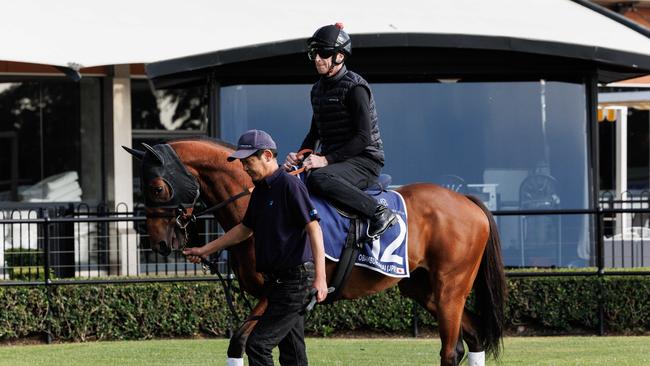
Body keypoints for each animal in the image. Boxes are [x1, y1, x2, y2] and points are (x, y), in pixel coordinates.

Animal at [123, 138, 506, 366]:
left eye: (157, 188)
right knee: (473, 337)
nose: (159, 243)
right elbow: (291, 354)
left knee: (451, 349)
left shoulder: (278, 293)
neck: (260, 198)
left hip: (449, 290)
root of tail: (466, 201)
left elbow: (240, 342)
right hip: (422, 289)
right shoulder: (287, 306)